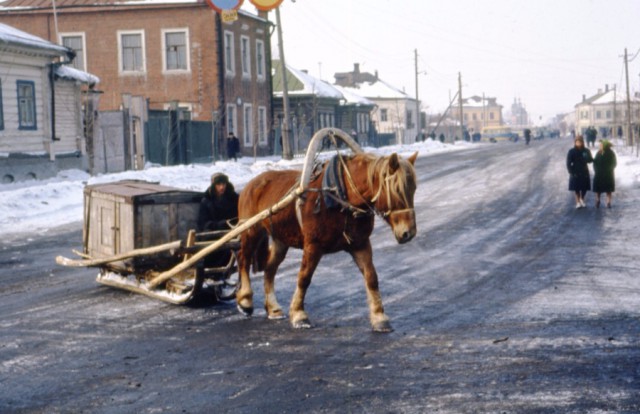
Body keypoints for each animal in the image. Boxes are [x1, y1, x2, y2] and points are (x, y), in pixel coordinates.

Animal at [238, 150, 418, 332]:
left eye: (414, 188)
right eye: (397, 189)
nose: (408, 233)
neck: (340, 196)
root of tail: (251, 184)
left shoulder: (360, 244)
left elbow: (371, 277)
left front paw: (379, 317)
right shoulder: (313, 245)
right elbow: (304, 278)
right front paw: (299, 314)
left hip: (280, 239)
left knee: (270, 268)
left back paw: (273, 308)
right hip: (251, 231)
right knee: (243, 260)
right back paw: (245, 300)